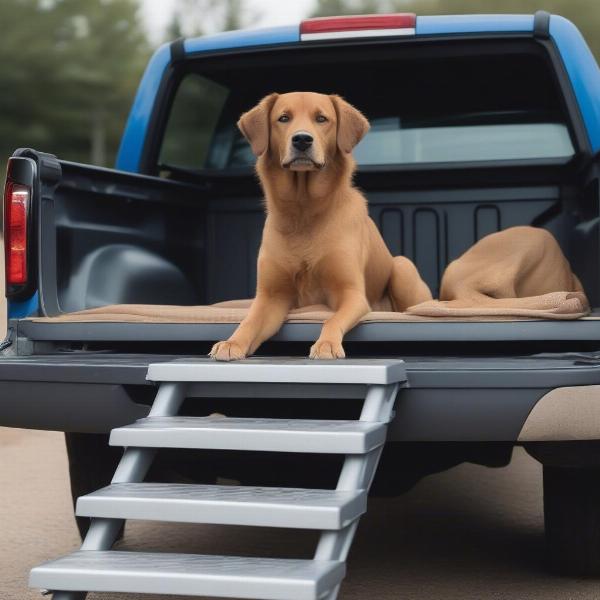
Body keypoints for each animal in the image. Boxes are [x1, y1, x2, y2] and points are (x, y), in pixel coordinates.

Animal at [210, 91, 432, 358]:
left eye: (321, 119)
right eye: (283, 118)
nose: (302, 140)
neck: (304, 211)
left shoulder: (351, 294)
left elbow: (331, 319)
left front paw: (326, 344)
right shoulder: (271, 296)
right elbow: (249, 321)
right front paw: (232, 343)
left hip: (402, 267)